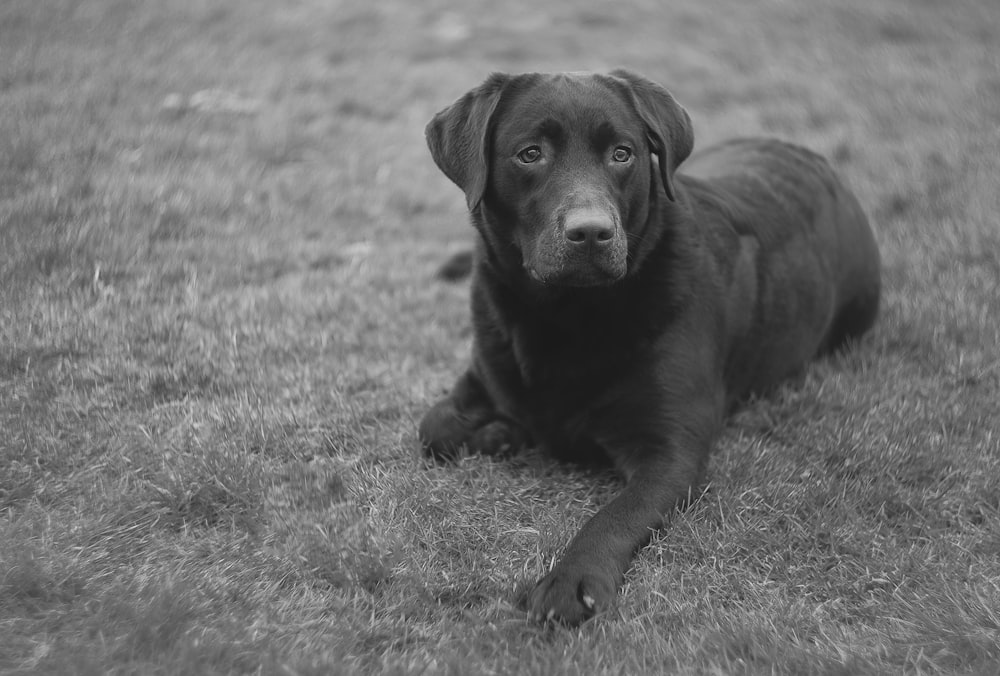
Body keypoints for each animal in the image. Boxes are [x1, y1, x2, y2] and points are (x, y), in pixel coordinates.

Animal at [418, 68, 880, 624]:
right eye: (530, 154)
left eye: (622, 153)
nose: (591, 232)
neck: (566, 313)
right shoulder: (485, 366)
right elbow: (434, 427)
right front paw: (500, 432)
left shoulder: (670, 453)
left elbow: (615, 514)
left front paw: (573, 579)